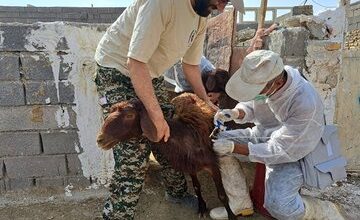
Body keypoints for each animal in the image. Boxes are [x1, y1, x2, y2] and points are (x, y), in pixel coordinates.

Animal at [96, 93, 236, 220]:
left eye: (129, 115)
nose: (100, 139)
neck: (186, 133)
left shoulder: (213, 165)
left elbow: (222, 195)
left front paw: (231, 216)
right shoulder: (190, 166)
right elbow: (197, 187)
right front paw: (201, 207)